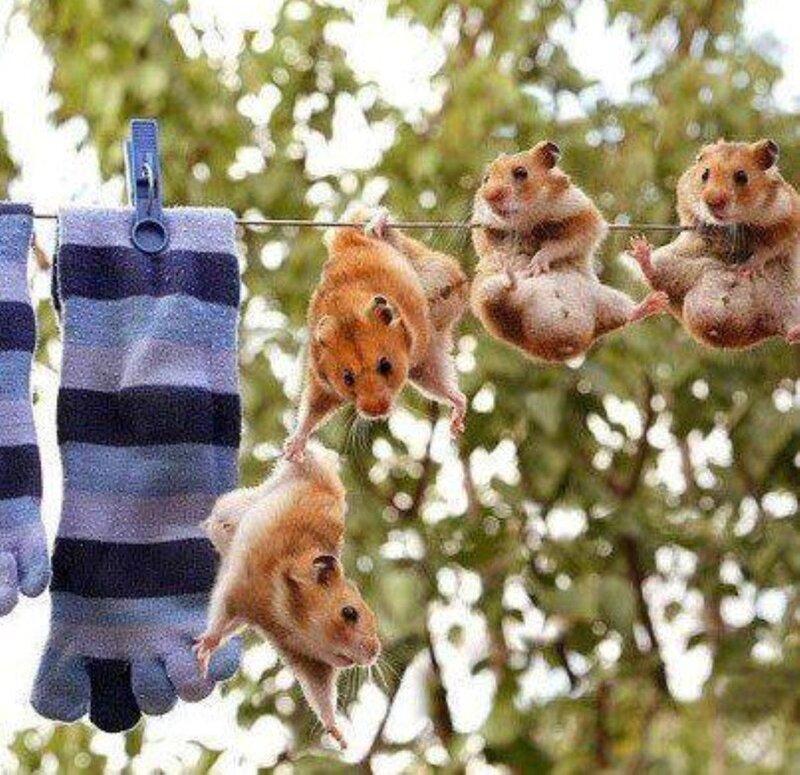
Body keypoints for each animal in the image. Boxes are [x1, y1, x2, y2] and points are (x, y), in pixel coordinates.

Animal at [196, 444, 381, 747]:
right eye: (349, 613)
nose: (375, 654)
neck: (292, 619)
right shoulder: (236, 589)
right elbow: (218, 617)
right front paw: (202, 653)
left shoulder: (310, 664)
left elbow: (323, 700)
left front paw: (340, 740)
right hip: (267, 487)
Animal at [283, 209, 468, 461]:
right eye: (347, 378)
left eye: (385, 365)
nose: (376, 412)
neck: (345, 313)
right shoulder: (322, 384)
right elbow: (312, 411)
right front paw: (291, 451)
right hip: (426, 358)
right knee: (447, 386)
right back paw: (457, 421)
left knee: (377, 226)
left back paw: (378, 224)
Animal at [470, 141, 667, 362]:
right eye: (486, 179)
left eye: (521, 172)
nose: (488, 197)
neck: (528, 218)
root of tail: (563, 347)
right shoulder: (482, 231)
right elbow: (494, 246)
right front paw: (519, 259)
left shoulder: (585, 219)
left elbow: (558, 245)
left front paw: (538, 265)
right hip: (486, 300)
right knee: (502, 295)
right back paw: (513, 274)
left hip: (608, 301)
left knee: (630, 314)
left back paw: (652, 283)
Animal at [630, 139, 800, 348]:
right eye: (704, 174)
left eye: (742, 176)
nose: (712, 202)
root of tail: (726, 329)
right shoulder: (685, 196)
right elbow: (693, 219)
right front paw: (706, 226)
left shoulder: (790, 216)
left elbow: (770, 247)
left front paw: (745, 269)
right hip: (671, 268)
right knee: (655, 275)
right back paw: (640, 249)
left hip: (788, 303)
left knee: (787, 328)